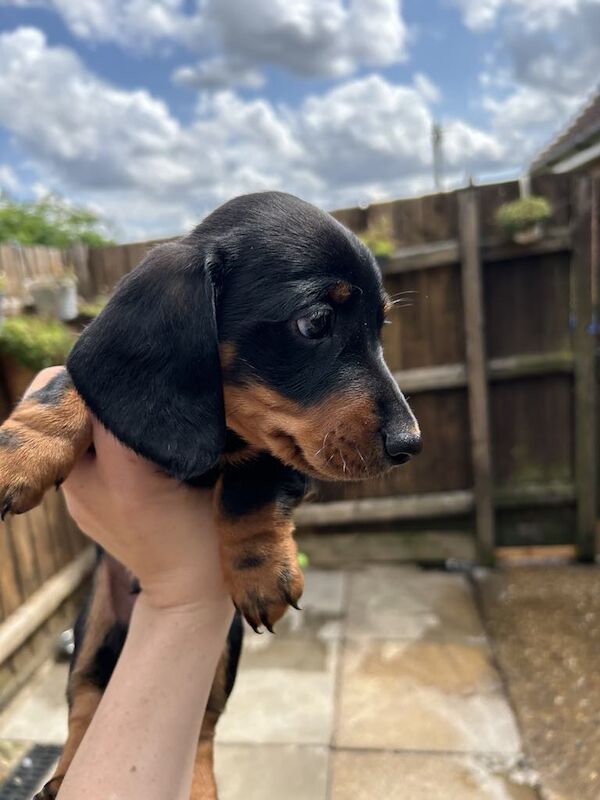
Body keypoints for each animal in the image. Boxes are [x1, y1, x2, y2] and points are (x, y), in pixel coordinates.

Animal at [0, 191, 422, 796]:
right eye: (316, 321)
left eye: (380, 328)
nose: (410, 443)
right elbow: (70, 384)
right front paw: (23, 449)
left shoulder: (281, 455)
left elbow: (249, 484)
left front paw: (260, 568)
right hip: (93, 623)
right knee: (85, 701)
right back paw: (63, 777)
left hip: (223, 646)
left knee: (200, 725)